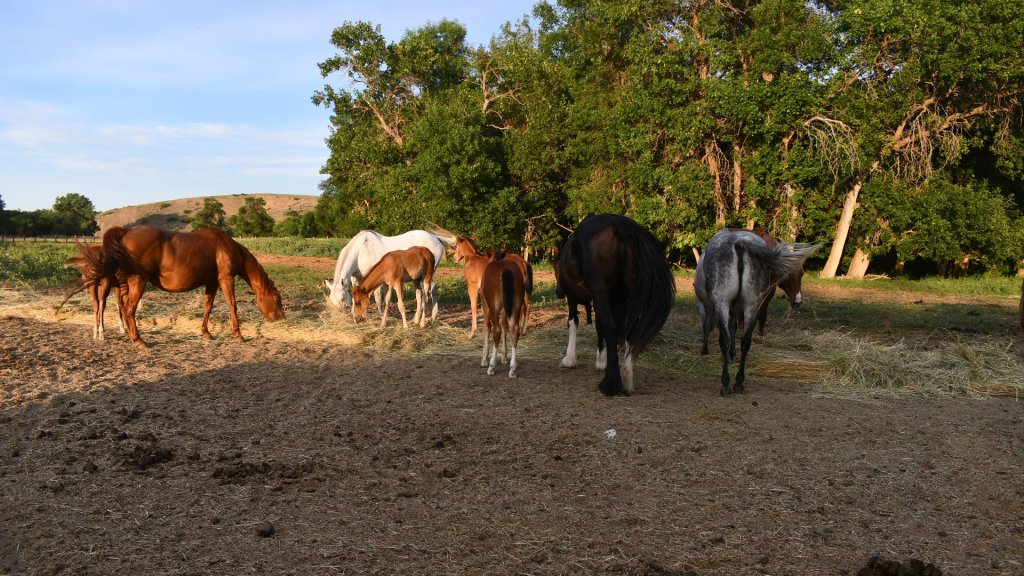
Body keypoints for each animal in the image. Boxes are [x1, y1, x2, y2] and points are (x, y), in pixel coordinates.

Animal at [83, 225, 282, 344]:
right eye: (277, 300)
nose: (280, 318)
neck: (225, 246)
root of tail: (125, 232)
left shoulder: (212, 283)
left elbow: (207, 307)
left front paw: (206, 333)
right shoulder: (226, 279)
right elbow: (232, 305)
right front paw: (238, 334)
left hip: (123, 284)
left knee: (118, 307)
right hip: (137, 282)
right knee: (128, 309)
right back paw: (138, 340)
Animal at [323, 228, 456, 317]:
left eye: (341, 298)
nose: (340, 314)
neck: (361, 250)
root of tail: (436, 238)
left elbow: (377, 297)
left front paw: (380, 314)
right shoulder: (356, 278)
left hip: (429, 273)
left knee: (431, 289)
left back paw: (431, 315)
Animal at [557, 212, 675, 393]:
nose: (558, 292)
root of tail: (621, 225)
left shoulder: (573, 297)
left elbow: (573, 322)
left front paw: (570, 359)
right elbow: (600, 327)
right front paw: (601, 360)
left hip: (601, 293)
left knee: (611, 329)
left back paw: (610, 384)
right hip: (629, 298)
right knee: (629, 332)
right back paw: (626, 377)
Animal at [692, 228, 819, 393]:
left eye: (801, 274)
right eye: (790, 275)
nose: (797, 301)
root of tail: (739, 243)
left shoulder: (713, 307)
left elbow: (711, 326)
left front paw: (706, 350)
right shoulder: (741, 308)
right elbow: (734, 328)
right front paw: (732, 354)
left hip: (723, 303)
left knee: (724, 339)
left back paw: (726, 383)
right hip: (751, 306)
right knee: (745, 341)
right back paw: (739, 382)